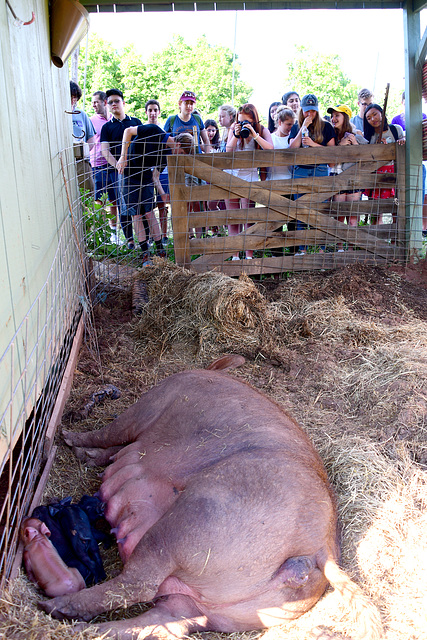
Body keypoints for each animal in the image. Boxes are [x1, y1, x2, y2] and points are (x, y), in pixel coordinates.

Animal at [38, 356, 382, 640]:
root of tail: (322, 548)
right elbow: (110, 450)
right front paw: (84, 455)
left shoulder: (152, 404)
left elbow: (110, 432)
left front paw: (69, 438)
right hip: (215, 611)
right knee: (161, 626)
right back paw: (81, 630)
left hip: (190, 524)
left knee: (137, 584)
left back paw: (53, 606)